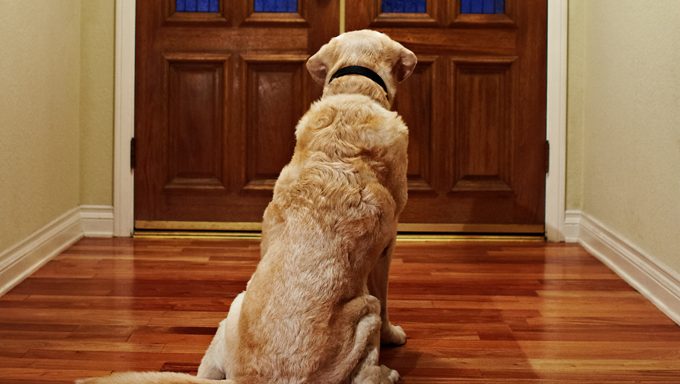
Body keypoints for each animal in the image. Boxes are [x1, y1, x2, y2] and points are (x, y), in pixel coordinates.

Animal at [74, 28, 414, 382]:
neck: (352, 95)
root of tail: (247, 380)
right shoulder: (387, 246)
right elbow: (386, 300)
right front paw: (394, 335)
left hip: (232, 312)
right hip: (365, 313)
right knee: (368, 365)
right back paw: (388, 372)